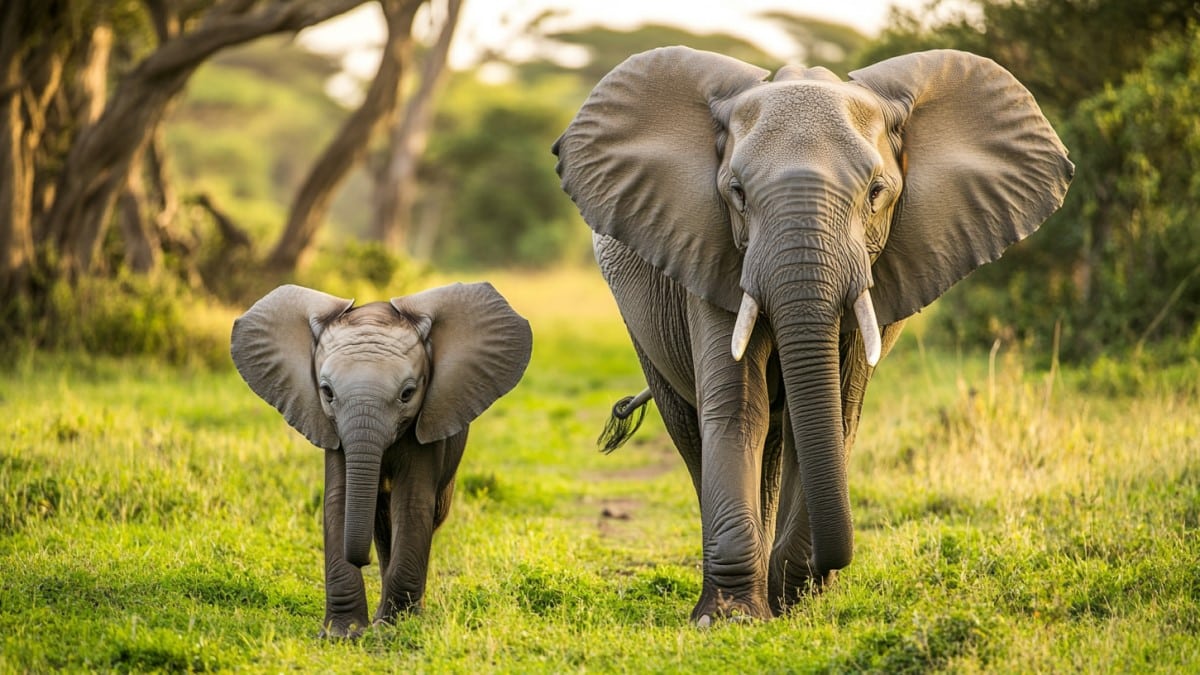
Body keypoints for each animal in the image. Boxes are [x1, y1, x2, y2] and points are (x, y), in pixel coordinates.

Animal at [231, 279, 532, 634]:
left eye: (407, 393)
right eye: (327, 392)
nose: (361, 560)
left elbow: (412, 504)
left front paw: (393, 629)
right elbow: (338, 500)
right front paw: (344, 633)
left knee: (428, 515)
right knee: (382, 522)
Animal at [552, 47, 1070, 624]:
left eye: (876, 193)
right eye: (737, 193)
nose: (825, 570)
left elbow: (835, 410)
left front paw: (794, 599)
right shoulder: (709, 250)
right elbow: (740, 407)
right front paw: (729, 619)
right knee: (693, 429)